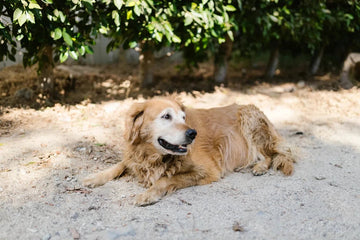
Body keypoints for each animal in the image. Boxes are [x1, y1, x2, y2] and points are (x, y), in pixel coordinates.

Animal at [83, 96, 296, 205]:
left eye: (183, 117)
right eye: (166, 116)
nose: (193, 133)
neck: (153, 155)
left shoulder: (208, 171)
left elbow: (165, 179)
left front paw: (149, 194)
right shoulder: (134, 157)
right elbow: (119, 165)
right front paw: (94, 177)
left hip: (249, 119)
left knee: (269, 154)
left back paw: (260, 166)